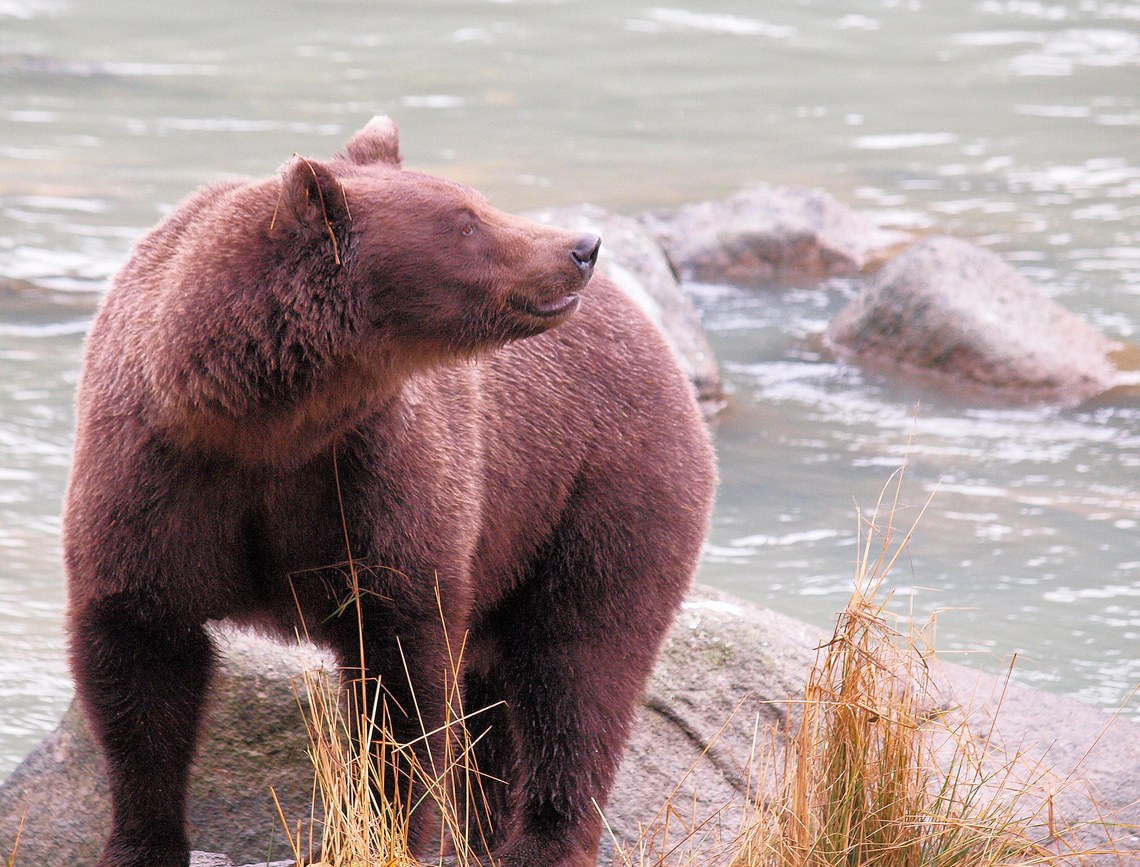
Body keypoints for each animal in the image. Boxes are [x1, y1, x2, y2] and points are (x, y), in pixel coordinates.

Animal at [63, 116, 717, 867]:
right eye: (466, 221)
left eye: (473, 203)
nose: (582, 247)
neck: (267, 422)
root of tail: (651, 333)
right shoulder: (161, 475)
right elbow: (140, 653)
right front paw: (139, 839)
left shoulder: (378, 477)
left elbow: (402, 675)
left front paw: (383, 827)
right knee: (509, 700)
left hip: (599, 488)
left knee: (579, 665)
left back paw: (541, 839)